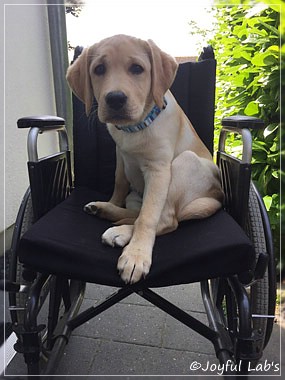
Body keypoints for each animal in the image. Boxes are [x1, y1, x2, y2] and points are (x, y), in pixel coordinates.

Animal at [66, 34, 222, 284]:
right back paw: (104, 210)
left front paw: (136, 255)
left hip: (185, 163)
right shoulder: (120, 156)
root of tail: (217, 196)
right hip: (136, 196)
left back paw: (121, 233)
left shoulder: (158, 170)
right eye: (99, 69)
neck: (135, 128)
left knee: (166, 219)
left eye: (137, 69)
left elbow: (148, 217)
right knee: (136, 211)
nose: (115, 99)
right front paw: (111, 203)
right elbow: (119, 184)